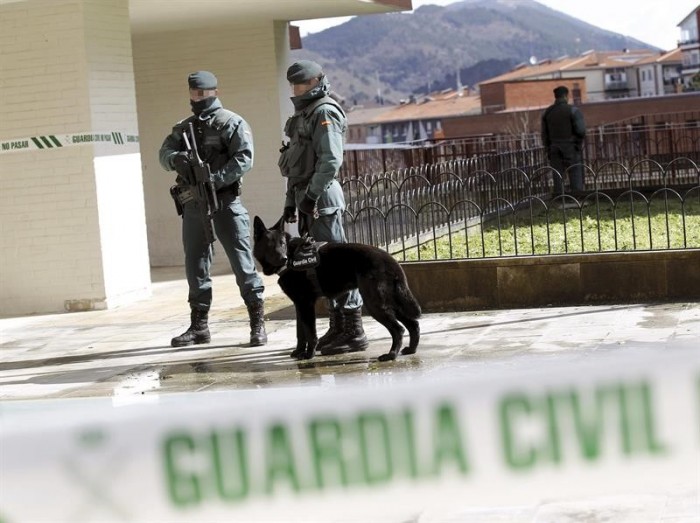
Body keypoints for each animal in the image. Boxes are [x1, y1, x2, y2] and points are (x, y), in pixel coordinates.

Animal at [256, 216, 424, 360]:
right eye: (270, 245)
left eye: (282, 243)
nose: (283, 258)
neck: (292, 254)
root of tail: (391, 261)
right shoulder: (300, 306)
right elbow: (300, 332)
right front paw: (298, 351)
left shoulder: (306, 305)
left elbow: (310, 333)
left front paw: (309, 354)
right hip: (390, 303)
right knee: (413, 324)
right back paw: (411, 349)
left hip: (375, 304)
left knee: (398, 329)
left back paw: (391, 355)